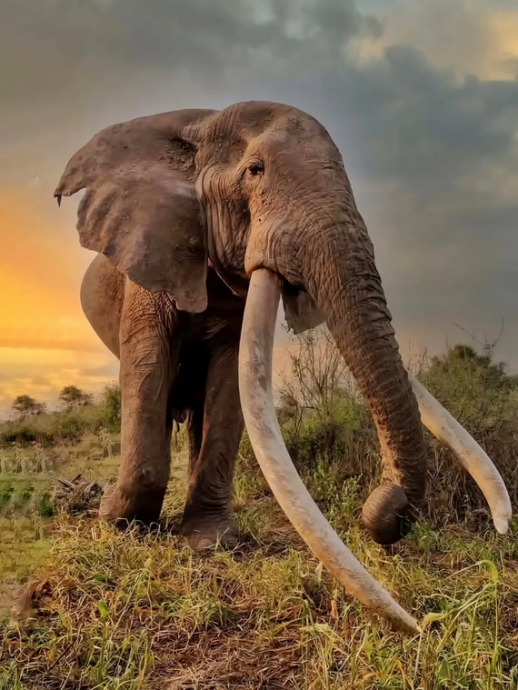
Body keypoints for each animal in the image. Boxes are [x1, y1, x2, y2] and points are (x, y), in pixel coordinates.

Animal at [55, 101, 511, 633]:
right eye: (255, 170)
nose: (385, 507)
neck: (200, 124)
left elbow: (230, 376)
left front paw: (211, 543)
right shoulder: (149, 255)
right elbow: (148, 364)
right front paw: (117, 522)